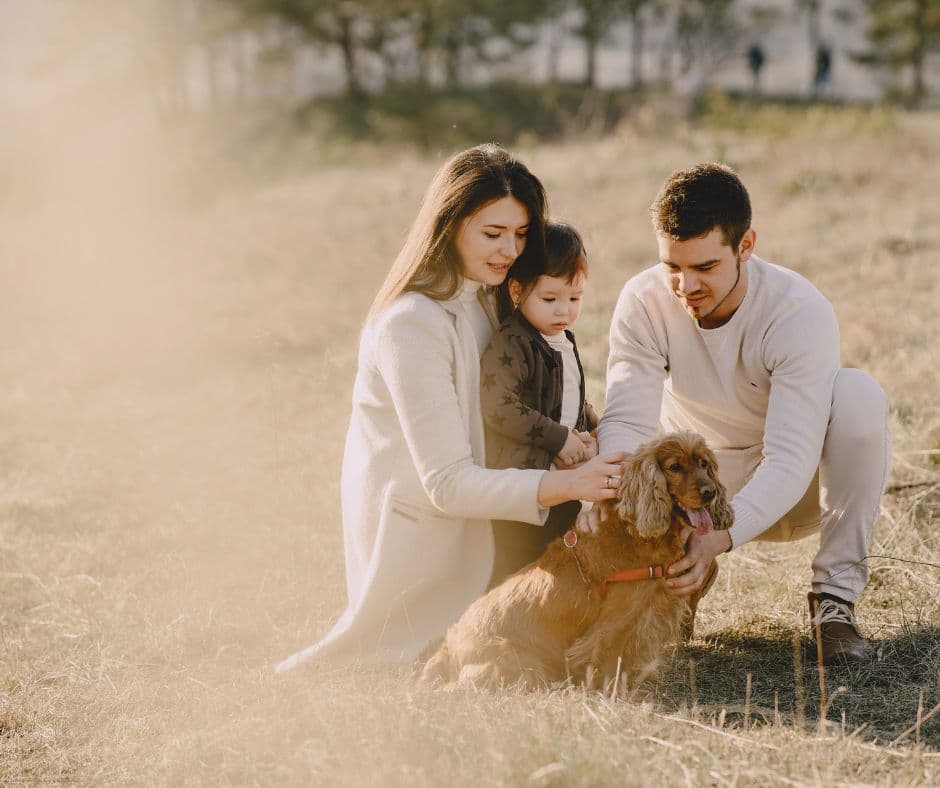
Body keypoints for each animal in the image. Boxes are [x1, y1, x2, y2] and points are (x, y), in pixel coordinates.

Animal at [420, 430, 736, 688]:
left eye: (704, 464)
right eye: (674, 467)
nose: (710, 492)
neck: (638, 534)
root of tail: (446, 649)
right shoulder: (616, 621)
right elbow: (606, 661)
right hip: (519, 664)